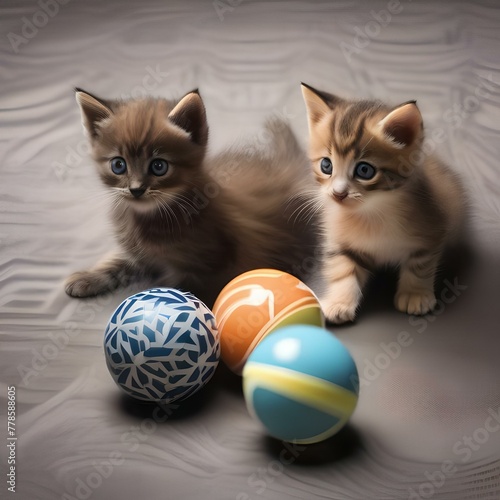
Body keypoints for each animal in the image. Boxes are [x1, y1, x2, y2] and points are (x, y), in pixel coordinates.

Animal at [63, 88, 316, 304]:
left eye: (158, 166)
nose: (136, 189)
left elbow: (181, 291)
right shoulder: (138, 252)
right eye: (118, 165)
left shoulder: (213, 266)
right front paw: (88, 276)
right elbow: (121, 259)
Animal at [300, 82, 464, 324]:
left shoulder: (432, 228)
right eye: (326, 166)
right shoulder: (338, 239)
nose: (338, 194)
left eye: (364, 170)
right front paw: (339, 302)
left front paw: (415, 295)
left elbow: (420, 265)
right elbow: (343, 268)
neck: (372, 212)